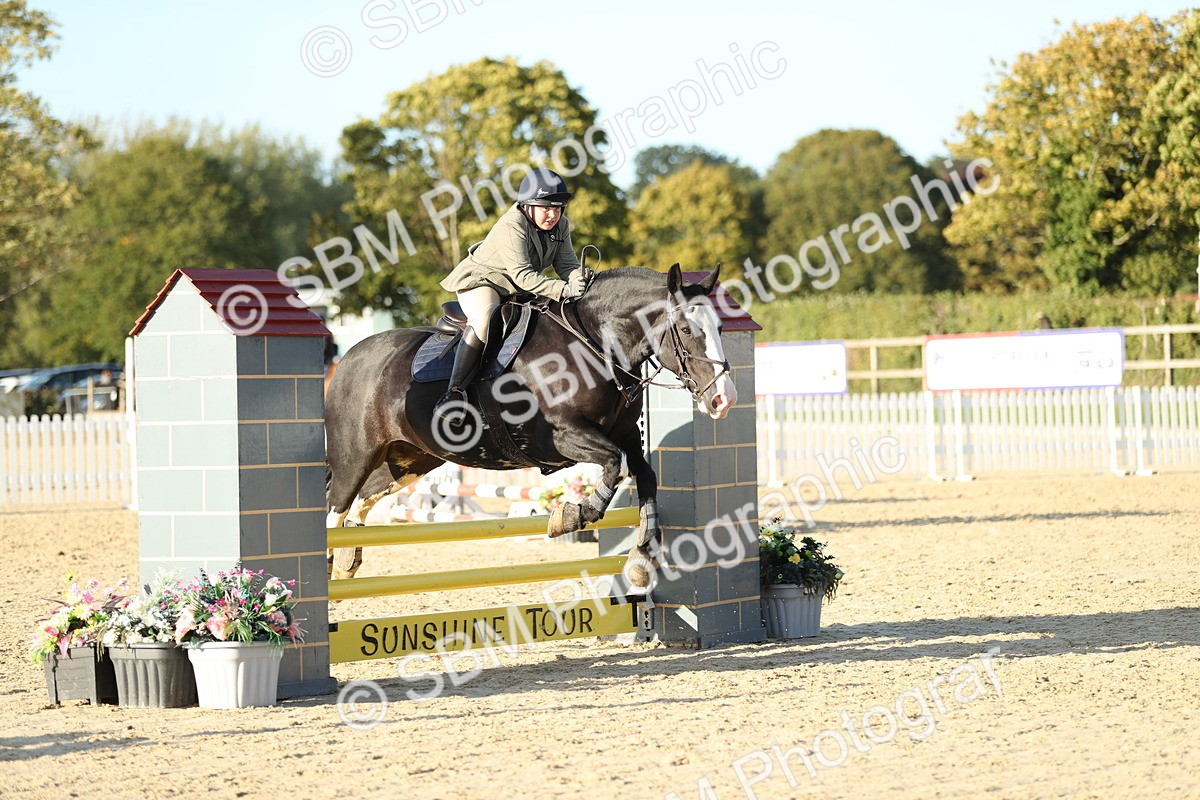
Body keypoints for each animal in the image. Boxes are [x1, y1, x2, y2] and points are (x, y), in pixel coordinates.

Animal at [324, 264, 738, 588]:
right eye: (686, 329)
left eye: (720, 327)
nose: (725, 399)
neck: (594, 346)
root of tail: (349, 359)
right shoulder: (561, 436)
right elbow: (613, 464)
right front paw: (569, 516)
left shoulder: (625, 434)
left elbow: (644, 475)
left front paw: (642, 557)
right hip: (355, 456)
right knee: (336, 508)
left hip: (411, 459)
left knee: (362, 502)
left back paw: (347, 561)